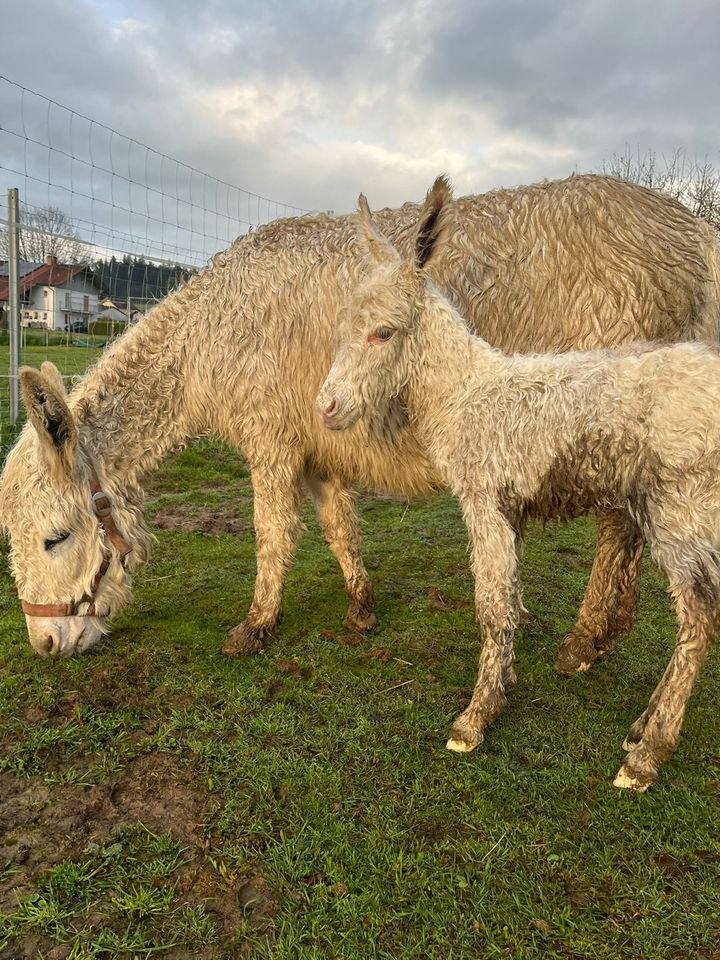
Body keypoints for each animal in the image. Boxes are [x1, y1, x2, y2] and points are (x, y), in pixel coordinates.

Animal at [318, 178, 720, 788]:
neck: (466, 391)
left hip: (683, 506)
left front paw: (474, 719)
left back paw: (647, 754)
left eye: (383, 333)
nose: (327, 408)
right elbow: (509, 599)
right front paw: (502, 685)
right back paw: (641, 726)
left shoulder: (483, 500)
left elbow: (490, 604)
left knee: (698, 616)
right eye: (343, 328)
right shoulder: (512, 510)